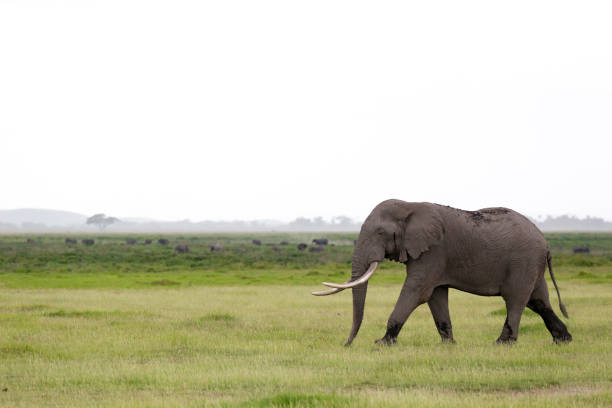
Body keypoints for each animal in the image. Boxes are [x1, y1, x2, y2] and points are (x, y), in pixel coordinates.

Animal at [314, 199, 572, 346]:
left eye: (379, 233)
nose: (346, 345)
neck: (410, 205)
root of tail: (546, 244)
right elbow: (435, 295)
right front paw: (449, 344)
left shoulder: (433, 251)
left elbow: (417, 291)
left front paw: (382, 343)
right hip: (532, 265)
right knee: (538, 301)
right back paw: (563, 340)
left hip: (523, 262)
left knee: (516, 299)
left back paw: (503, 343)